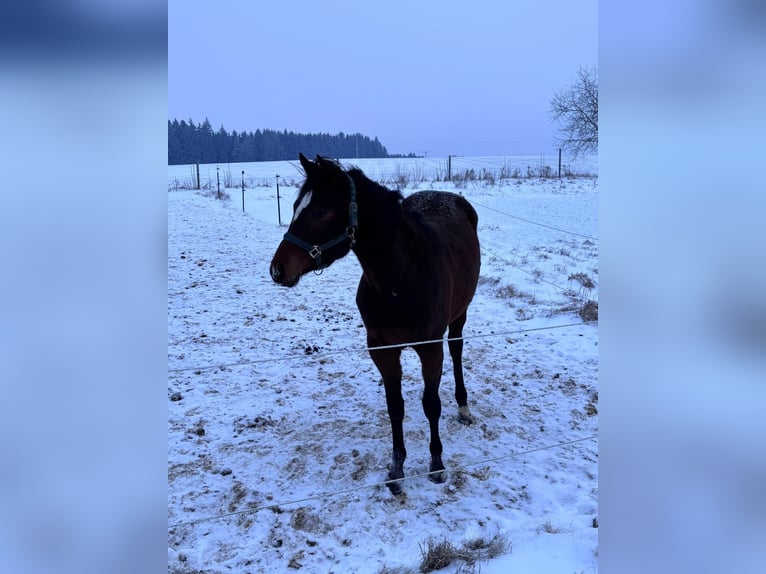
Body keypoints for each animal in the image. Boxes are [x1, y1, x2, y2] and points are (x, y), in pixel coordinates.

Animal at [270, 153, 481, 494]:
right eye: (295, 207)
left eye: (320, 211)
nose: (278, 269)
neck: (402, 279)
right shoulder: (382, 349)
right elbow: (395, 406)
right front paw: (397, 469)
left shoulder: (430, 349)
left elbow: (431, 403)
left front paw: (436, 464)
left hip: (459, 316)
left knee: (457, 349)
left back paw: (463, 406)